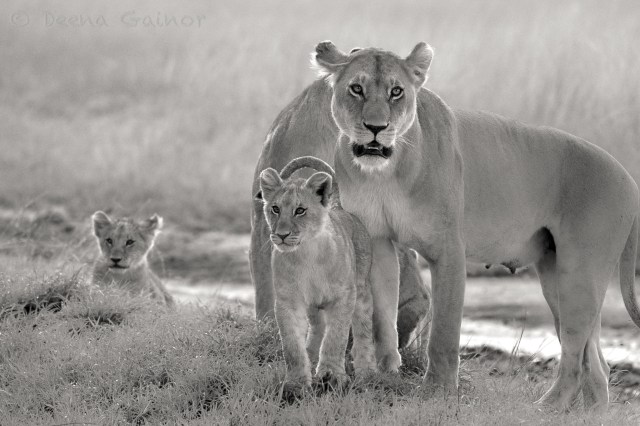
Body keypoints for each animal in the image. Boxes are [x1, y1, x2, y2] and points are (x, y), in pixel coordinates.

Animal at [258, 156, 376, 392]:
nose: (282, 235)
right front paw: (296, 383)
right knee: (317, 328)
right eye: (275, 208)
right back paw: (311, 358)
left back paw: (367, 372)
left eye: (300, 210)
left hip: (362, 291)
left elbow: (336, 337)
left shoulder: (344, 297)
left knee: (363, 331)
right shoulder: (288, 301)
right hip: (313, 306)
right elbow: (291, 345)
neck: (306, 254)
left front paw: (332, 376)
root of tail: (338, 207)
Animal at [311, 40, 640, 411]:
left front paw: (438, 391)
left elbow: (443, 330)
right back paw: (587, 413)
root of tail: (629, 179)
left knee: (573, 356)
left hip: (579, 275)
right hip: (557, 275)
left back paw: (543, 408)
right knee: (594, 361)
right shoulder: (378, 239)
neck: (385, 173)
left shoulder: (449, 249)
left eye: (397, 91)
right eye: (357, 88)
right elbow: (383, 316)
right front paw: (385, 376)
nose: (376, 128)